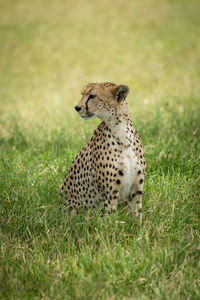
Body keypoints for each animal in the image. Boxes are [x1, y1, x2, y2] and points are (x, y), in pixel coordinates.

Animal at [59, 82, 145, 216]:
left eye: (92, 96)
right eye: (82, 94)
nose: (77, 107)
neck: (121, 132)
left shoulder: (137, 189)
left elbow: (137, 215)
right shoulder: (110, 193)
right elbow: (111, 217)